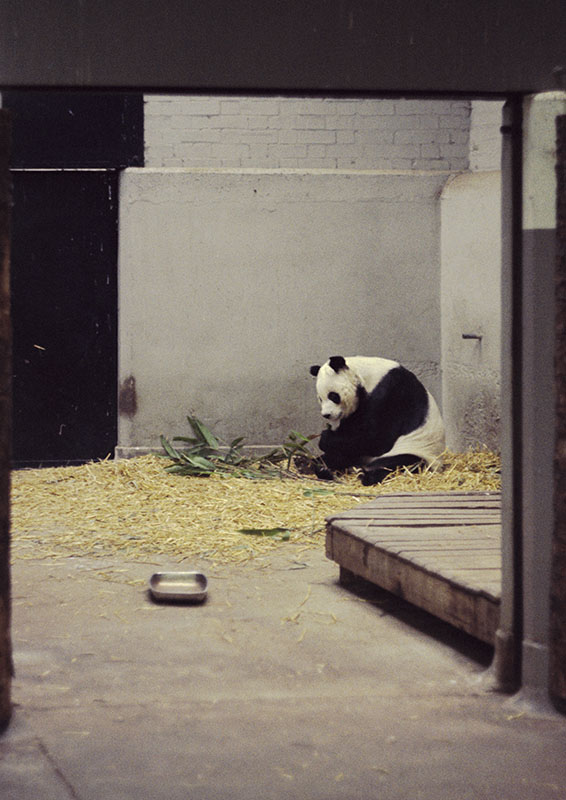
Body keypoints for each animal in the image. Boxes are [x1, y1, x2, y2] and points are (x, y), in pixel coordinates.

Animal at [309, 355, 445, 485]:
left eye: (333, 396)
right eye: (320, 398)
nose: (326, 415)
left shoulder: (391, 391)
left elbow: (377, 439)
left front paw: (324, 437)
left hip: (419, 449)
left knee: (399, 463)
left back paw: (366, 475)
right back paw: (321, 468)